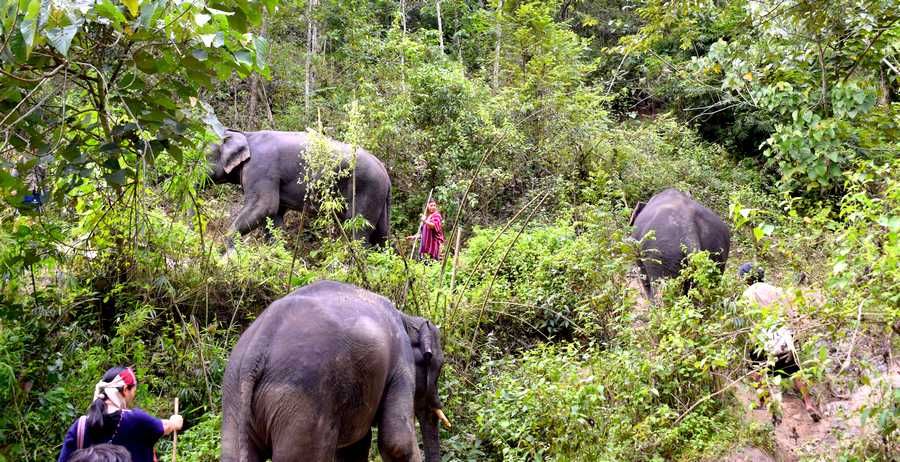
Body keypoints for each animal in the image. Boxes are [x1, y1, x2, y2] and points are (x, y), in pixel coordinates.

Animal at [211, 128, 394, 251]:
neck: (247, 135)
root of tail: (385, 173)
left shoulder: (261, 168)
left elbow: (264, 206)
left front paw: (227, 251)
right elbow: (274, 215)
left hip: (367, 190)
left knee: (358, 230)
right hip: (379, 198)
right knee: (381, 235)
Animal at [223, 280, 448, 460]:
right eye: (439, 365)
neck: (406, 318)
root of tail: (258, 346)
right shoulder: (401, 363)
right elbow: (397, 442)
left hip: (235, 398)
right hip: (301, 404)